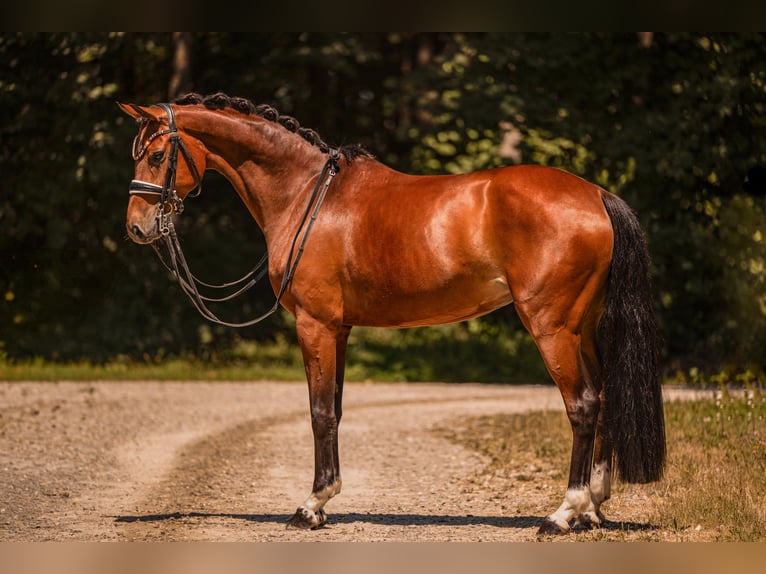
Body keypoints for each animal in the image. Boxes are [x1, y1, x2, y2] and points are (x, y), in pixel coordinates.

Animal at [119, 92, 665, 535]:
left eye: (158, 154)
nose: (138, 228)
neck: (305, 196)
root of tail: (596, 194)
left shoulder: (314, 324)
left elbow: (319, 412)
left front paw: (310, 506)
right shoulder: (338, 329)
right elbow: (335, 410)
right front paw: (325, 500)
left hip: (552, 327)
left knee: (584, 405)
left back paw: (564, 513)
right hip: (582, 327)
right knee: (604, 399)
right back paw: (592, 508)